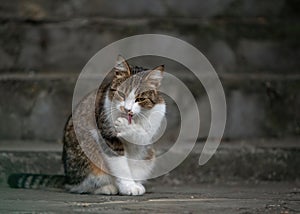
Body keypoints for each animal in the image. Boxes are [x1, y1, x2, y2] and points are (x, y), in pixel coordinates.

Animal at [7, 55, 166, 196]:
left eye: (140, 99)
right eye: (121, 94)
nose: (126, 109)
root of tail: (67, 178)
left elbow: (142, 135)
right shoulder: (107, 136)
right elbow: (120, 164)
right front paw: (128, 187)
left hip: (148, 157)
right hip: (88, 155)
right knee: (79, 186)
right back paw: (107, 188)